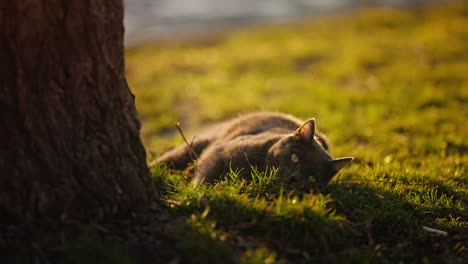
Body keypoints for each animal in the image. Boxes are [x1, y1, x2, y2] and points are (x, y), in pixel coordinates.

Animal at [155, 112, 352, 189]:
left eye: (312, 178)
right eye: (294, 157)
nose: (294, 178)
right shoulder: (219, 152)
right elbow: (205, 175)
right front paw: (198, 193)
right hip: (196, 145)